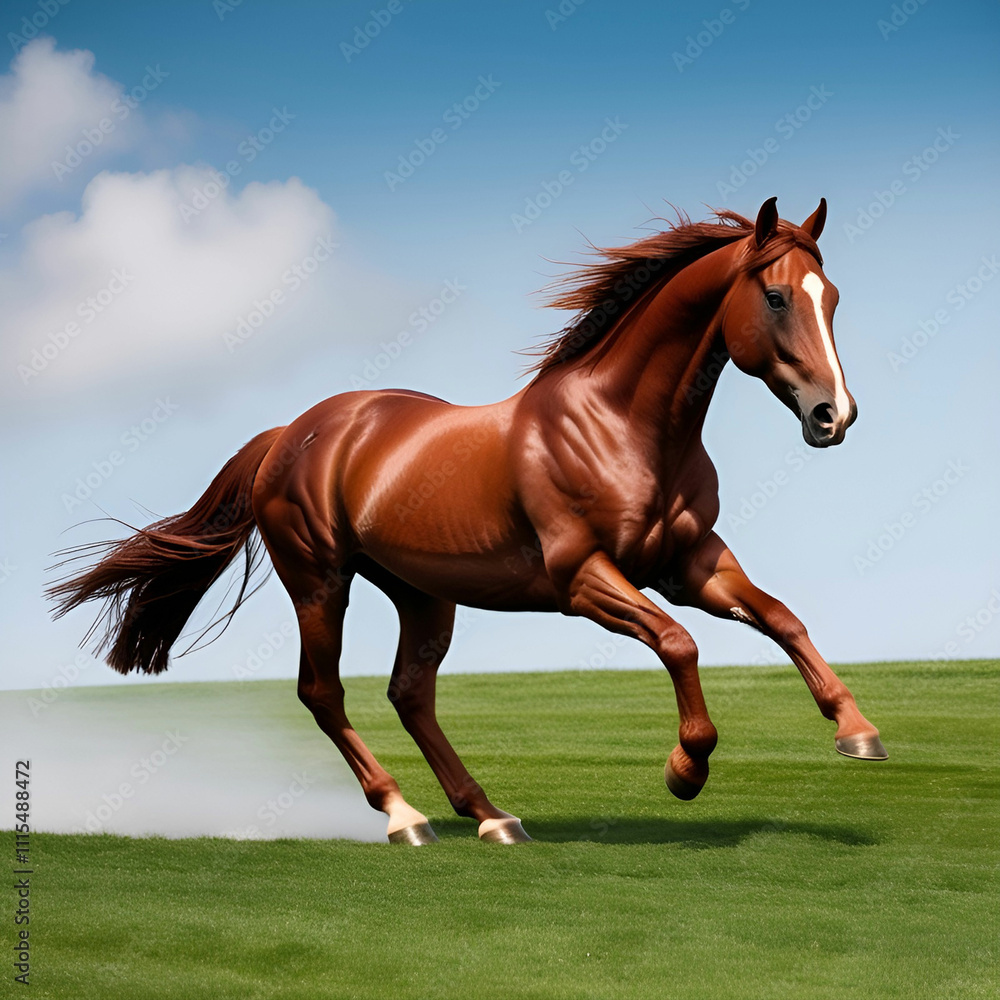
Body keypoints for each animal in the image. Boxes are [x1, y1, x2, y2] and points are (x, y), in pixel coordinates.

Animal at [50, 196, 887, 846]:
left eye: (834, 296)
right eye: (776, 297)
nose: (834, 416)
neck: (622, 427)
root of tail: (292, 433)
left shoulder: (691, 563)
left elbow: (782, 618)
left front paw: (858, 733)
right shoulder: (582, 579)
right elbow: (681, 643)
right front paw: (686, 770)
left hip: (423, 593)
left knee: (409, 693)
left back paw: (490, 816)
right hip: (320, 580)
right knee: (324, 693)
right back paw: (404, 817)